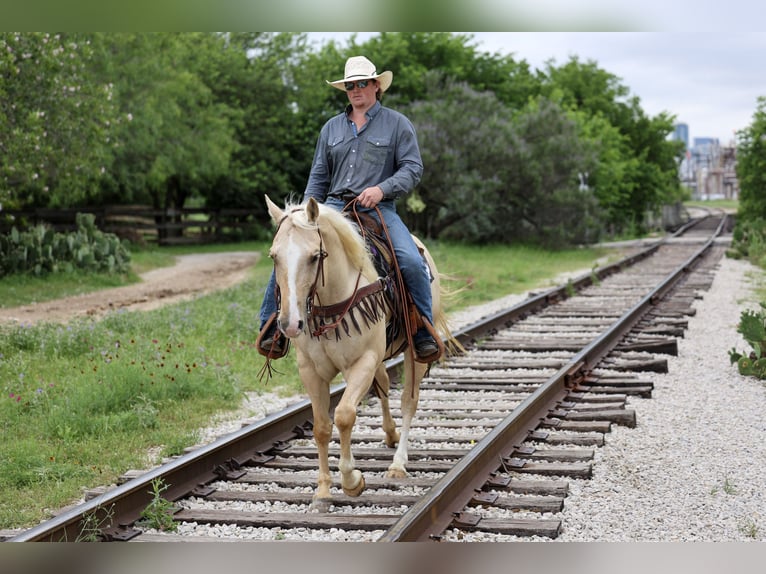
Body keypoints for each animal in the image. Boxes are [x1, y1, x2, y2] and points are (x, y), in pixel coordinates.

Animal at [264, 195, 456, 509]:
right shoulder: (311, 371)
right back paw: (390, 433)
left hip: (412, 355)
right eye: (273, 257)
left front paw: (352, 480)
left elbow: (344, 415)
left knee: (408, 401)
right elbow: (321, 427)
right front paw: (323, 490)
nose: (290, 324)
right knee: (384, 386)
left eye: (315, 256)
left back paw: (398, 463)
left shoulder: (362, 362)